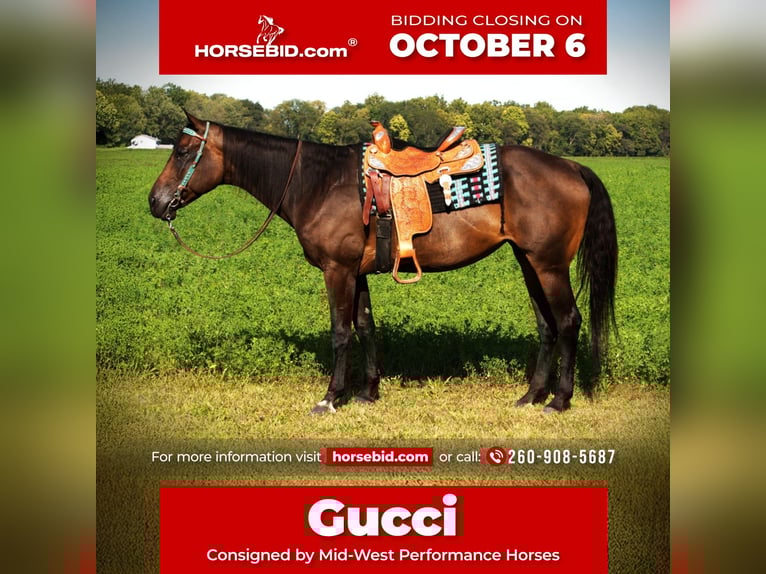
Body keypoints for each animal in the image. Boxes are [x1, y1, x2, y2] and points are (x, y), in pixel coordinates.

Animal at [148, 112, 617, 415]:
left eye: (183, 150)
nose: (154, 202)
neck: (318, 182)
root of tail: (572, 166)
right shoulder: (355, 272)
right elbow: (366, 327)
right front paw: (367, 393)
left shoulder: (337, 270)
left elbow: (340, 332)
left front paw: (330, 398)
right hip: (529, 262)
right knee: (547, 325)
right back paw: (531, 396)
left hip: (550, 266)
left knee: (569, 321)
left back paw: (559, 400)